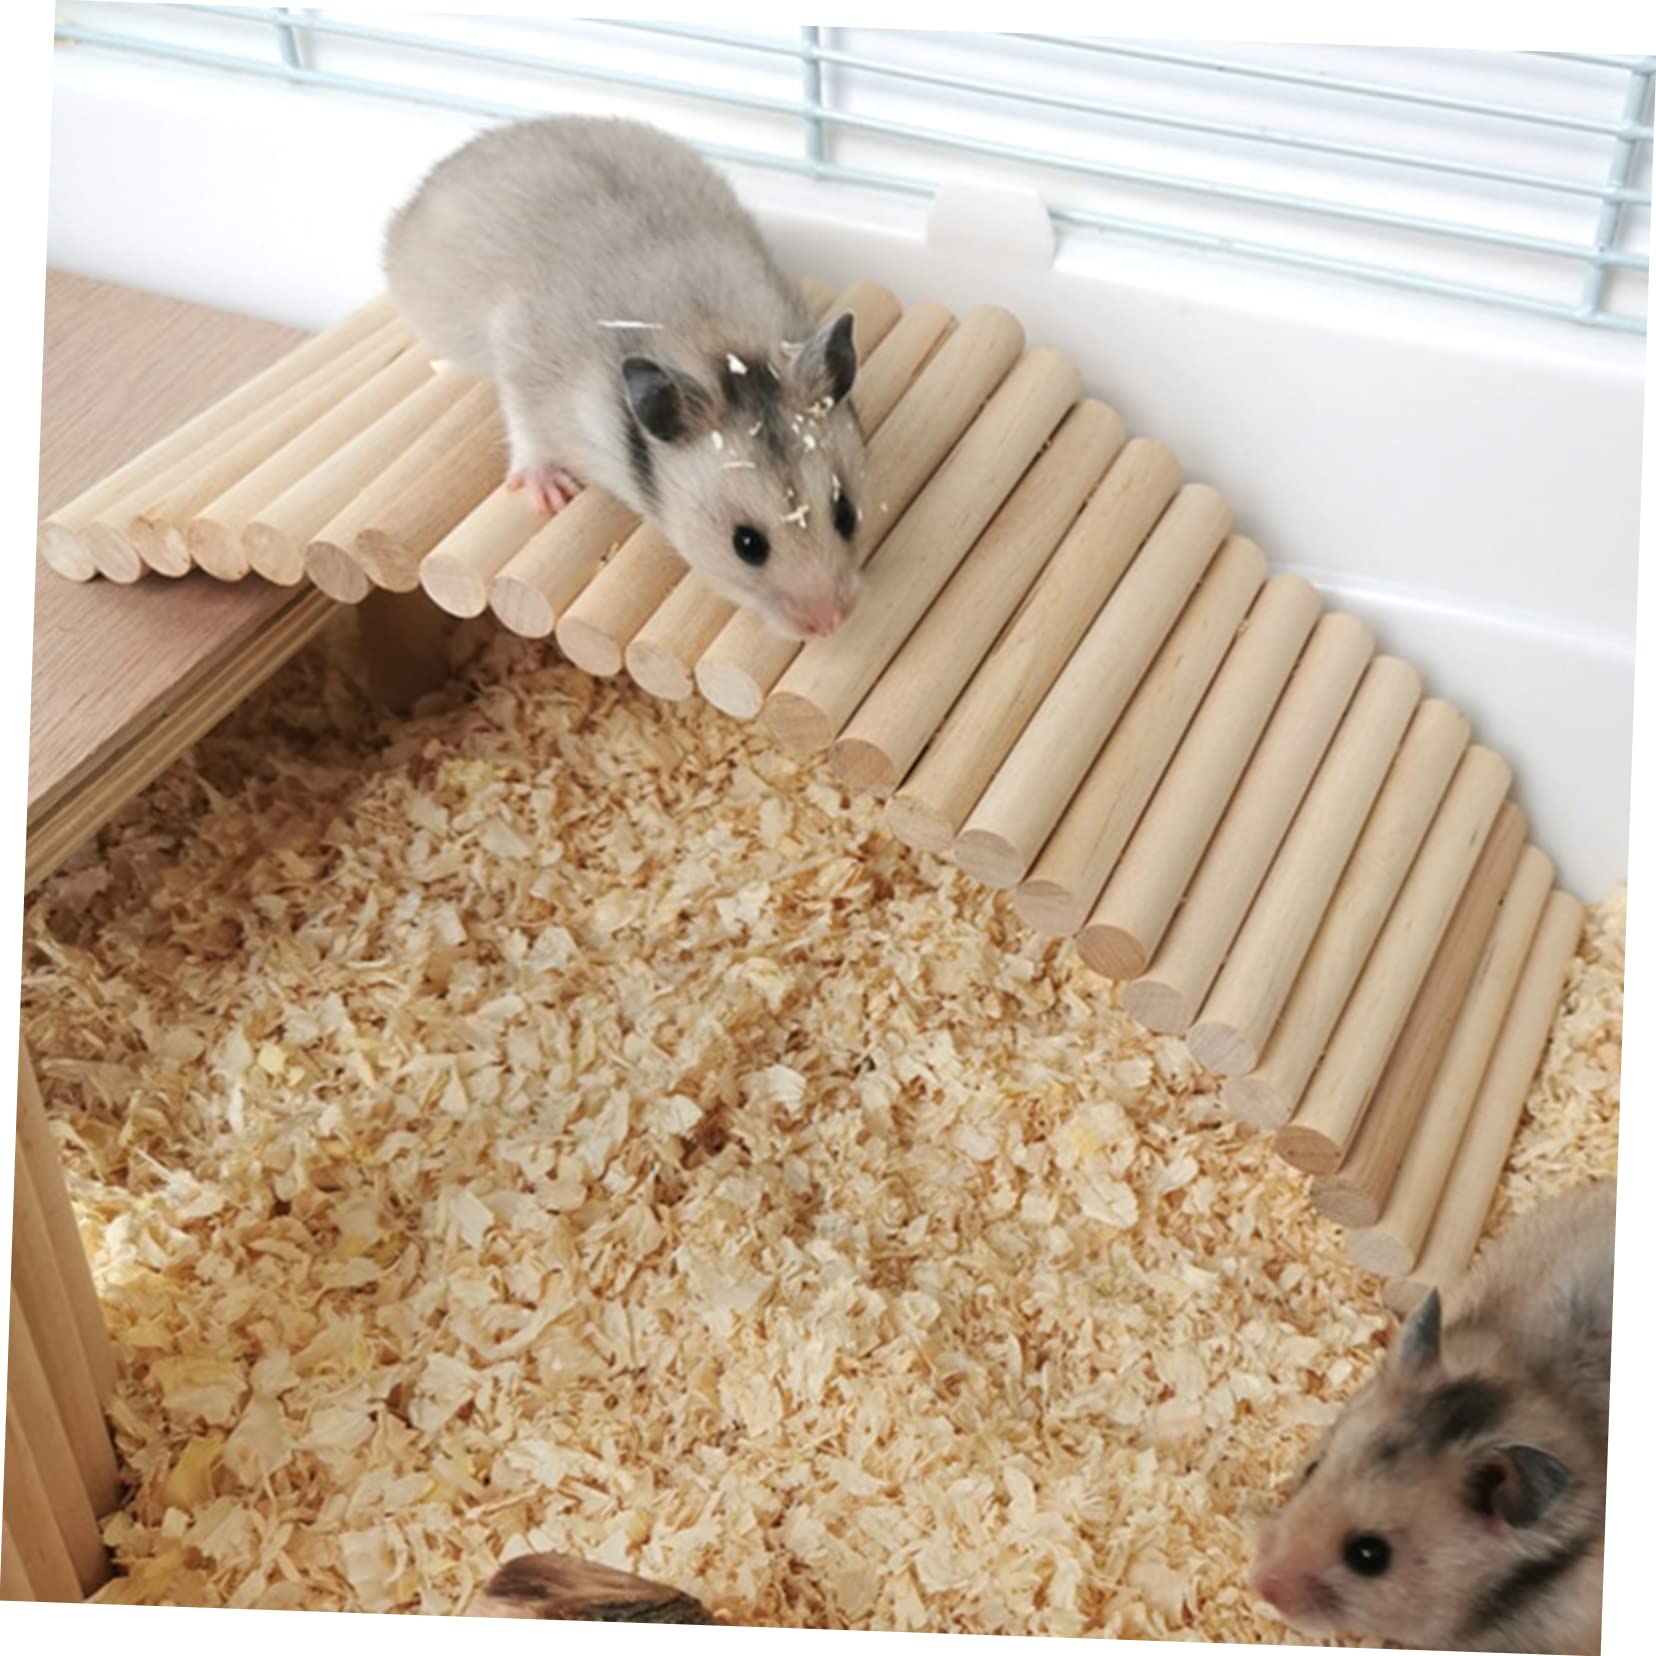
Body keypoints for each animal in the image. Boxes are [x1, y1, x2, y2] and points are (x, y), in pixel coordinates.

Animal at [383, 115, 868, 641]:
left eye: (845, 513)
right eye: (747, 544)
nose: (832, 622)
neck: (716, 341)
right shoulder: (525, 364)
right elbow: (526, 429)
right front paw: (552, 496)